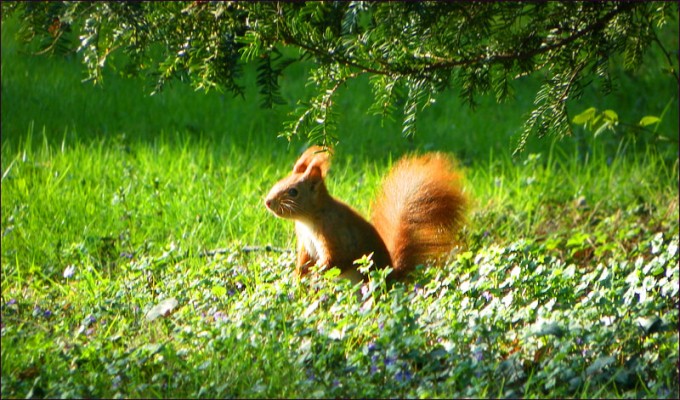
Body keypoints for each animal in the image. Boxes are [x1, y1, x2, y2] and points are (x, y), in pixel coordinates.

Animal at [264, 146, 467, 282]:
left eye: (293, 192)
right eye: (280, 181)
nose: (267, 202)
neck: (308, 219)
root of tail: (392, 276)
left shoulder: (333, 233)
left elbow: (335, 260)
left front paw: (316, 273)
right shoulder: (305, 243)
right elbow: (304, 260)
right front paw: (298, 275)